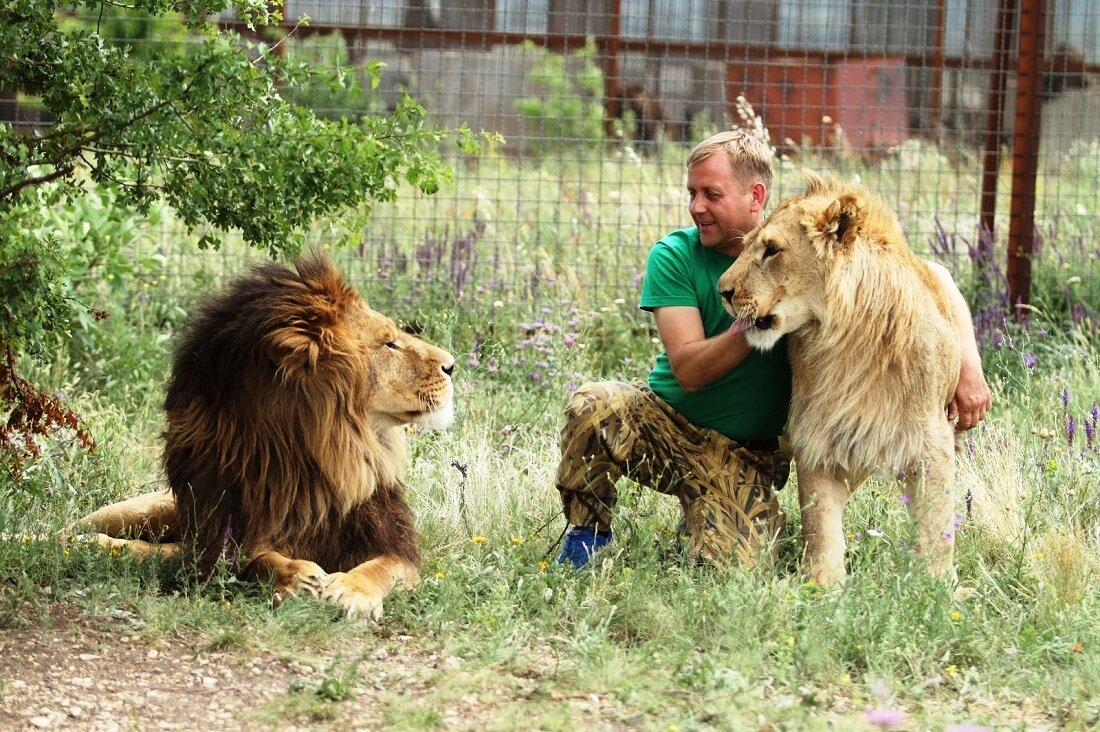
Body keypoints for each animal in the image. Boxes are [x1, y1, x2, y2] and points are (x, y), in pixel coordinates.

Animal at [79, 254, 453, 620]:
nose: (452, 365)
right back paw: (84, 542)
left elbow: (382, 568)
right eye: (390, 343)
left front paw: (351, 591)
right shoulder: (227, 536)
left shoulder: (394, 543)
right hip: (141, 512)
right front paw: (297, 577)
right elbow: (256, 559)